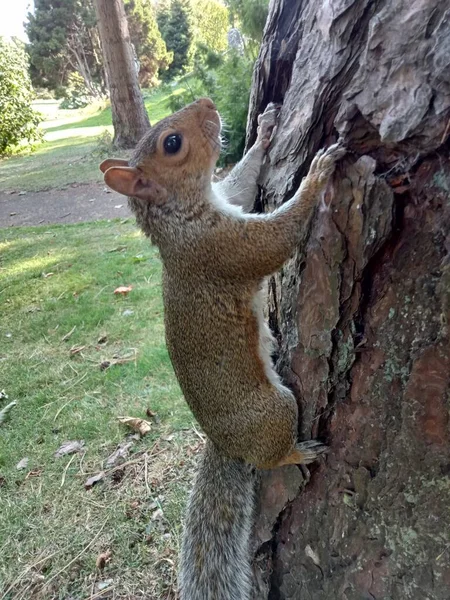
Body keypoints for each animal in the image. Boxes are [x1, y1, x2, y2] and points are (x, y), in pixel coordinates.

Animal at [101, 99, 344, 600]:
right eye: (172, 143)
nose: (208, 104)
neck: (180, 219)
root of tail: (224, 443)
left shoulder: (227, 197)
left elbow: (244, 180)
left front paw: (266, 130)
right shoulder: (223, 248)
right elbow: (276, 239)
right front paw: (317, 173)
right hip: (273, 410)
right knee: (268, 456)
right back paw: (298, 453)